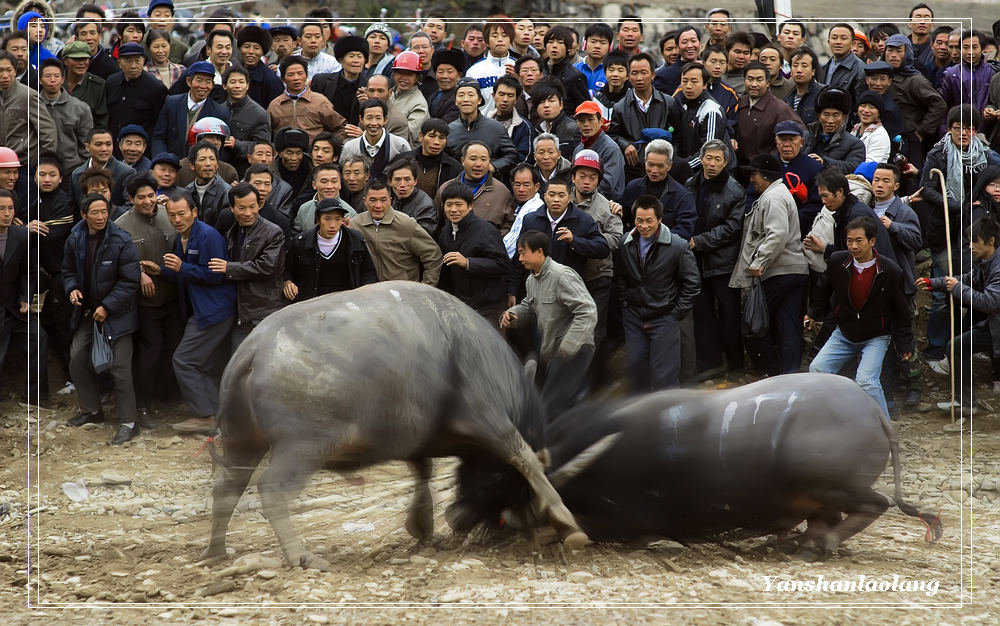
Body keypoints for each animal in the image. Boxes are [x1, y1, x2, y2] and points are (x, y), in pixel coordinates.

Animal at [204, 280, 588, 568]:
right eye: (499, 481)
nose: (460, 520)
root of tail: (252, 349)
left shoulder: (418, 438)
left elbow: (423, 472)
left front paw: (422, 525)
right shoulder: (488, 418)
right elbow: (522, 455)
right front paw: (567, 522)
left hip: (242, 442)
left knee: (226, 489)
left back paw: (216, 551)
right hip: (303, 447)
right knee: (271, 490)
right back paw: (300, 555)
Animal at [536, 372, 940, 560]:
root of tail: (874, 412)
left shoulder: (624, 514)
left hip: (829, 483)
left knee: (875, 504)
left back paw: (816, 545)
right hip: (817, 492)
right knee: (830, 517)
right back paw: (800, 545)